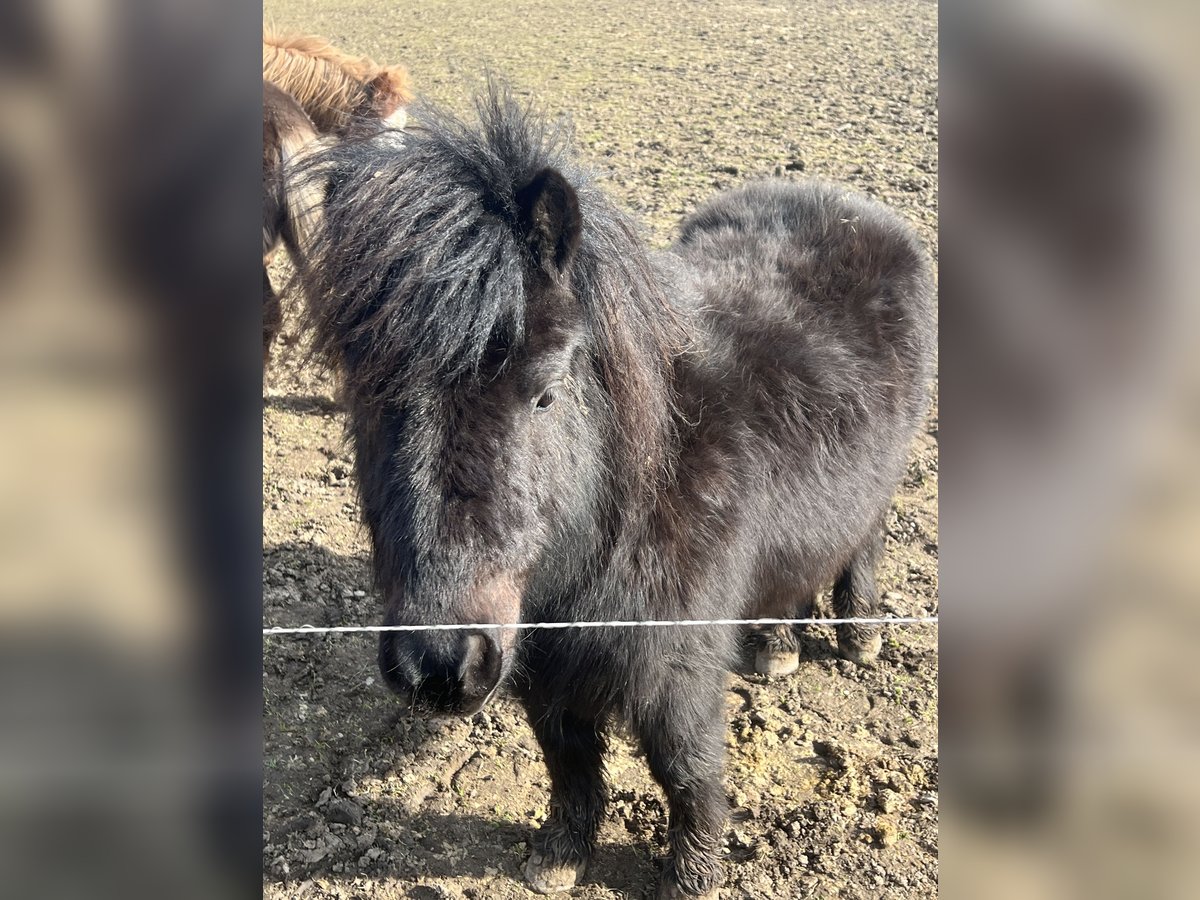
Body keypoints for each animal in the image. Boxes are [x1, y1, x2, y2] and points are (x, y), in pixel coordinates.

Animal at [297, 85, 935, 899]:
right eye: (366, 398)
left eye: (545, 392)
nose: (439, 666)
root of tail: (845, 200)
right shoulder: (543, 662)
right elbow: (566, 757)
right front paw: (562, 853)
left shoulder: (676, 667)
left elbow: (684, 768)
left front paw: (690, 876)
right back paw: (776, 645)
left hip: (883, 478)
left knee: (866, 537)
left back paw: (860, 632)